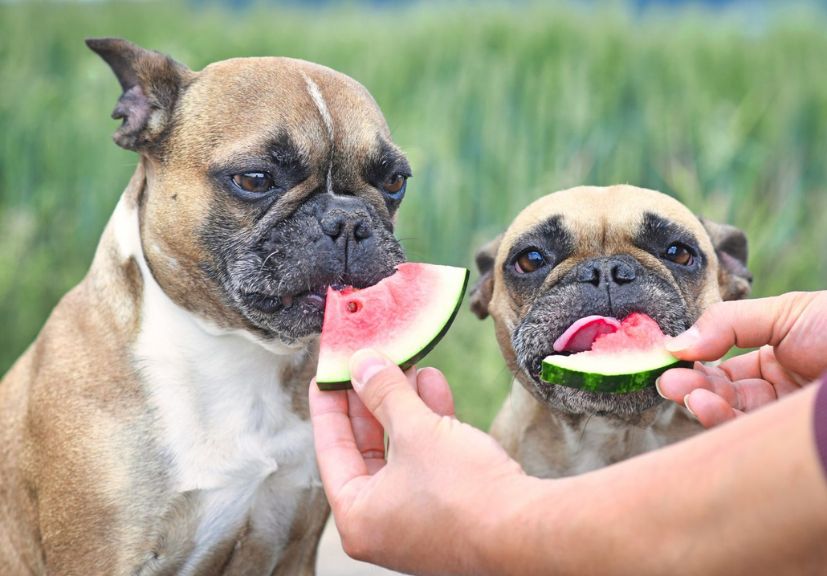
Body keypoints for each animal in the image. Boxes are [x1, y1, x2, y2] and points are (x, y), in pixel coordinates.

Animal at [0, 38, 414, 572]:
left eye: (395, 182)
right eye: (255, 179)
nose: (347, 220)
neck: (234, 351)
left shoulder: (294, 548)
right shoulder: (103, 556)